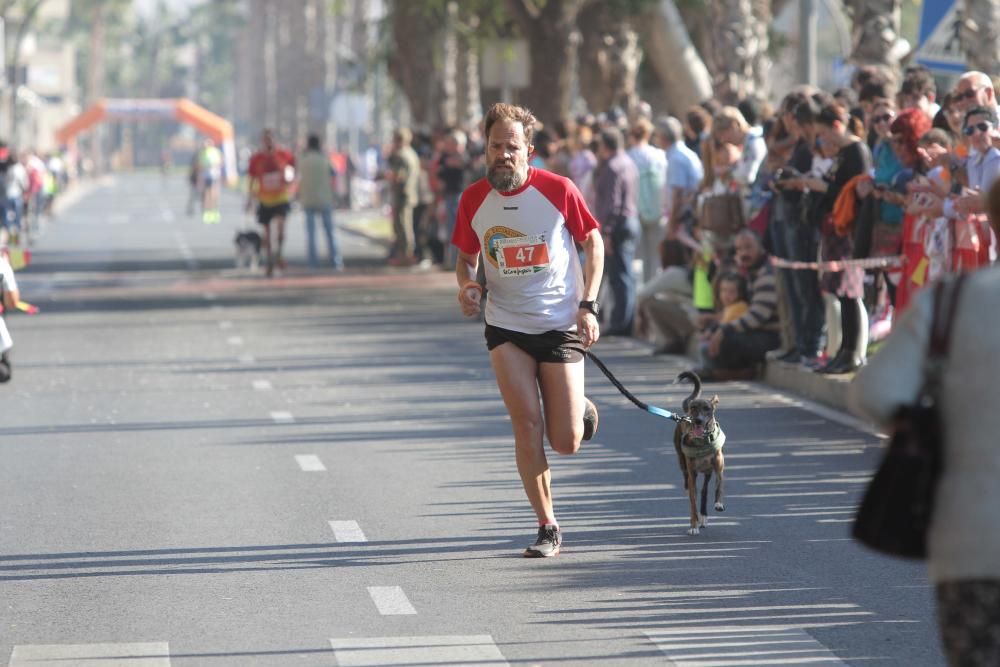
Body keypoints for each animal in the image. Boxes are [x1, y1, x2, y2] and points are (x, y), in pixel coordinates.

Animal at [672, 370, 728, 536]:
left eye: (706, 408)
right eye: (694, 408)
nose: (697, 420)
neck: (702, 440)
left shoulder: (719, 467)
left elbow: (719, 485)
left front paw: (719, 503)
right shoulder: (692, 474)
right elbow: (692, 503)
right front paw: (693, 525)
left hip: (708, 472)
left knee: (704, 491)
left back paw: (704, 516)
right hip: (683, 464)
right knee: (692, 489)